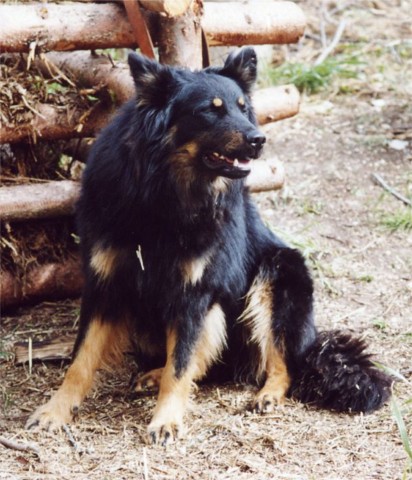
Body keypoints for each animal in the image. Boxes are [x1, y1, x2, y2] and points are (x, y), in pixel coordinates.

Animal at [27, 48, 391, 445]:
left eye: (243, 107)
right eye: (210, 110)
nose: (259, 139)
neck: (164, 194)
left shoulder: (194, 293)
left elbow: (181, 363)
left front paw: (166, 420)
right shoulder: (105, 284)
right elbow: (81, 359)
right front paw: (56, 411)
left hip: (276, 275)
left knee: (276, 361)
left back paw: (266, 394)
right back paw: (153, 374)